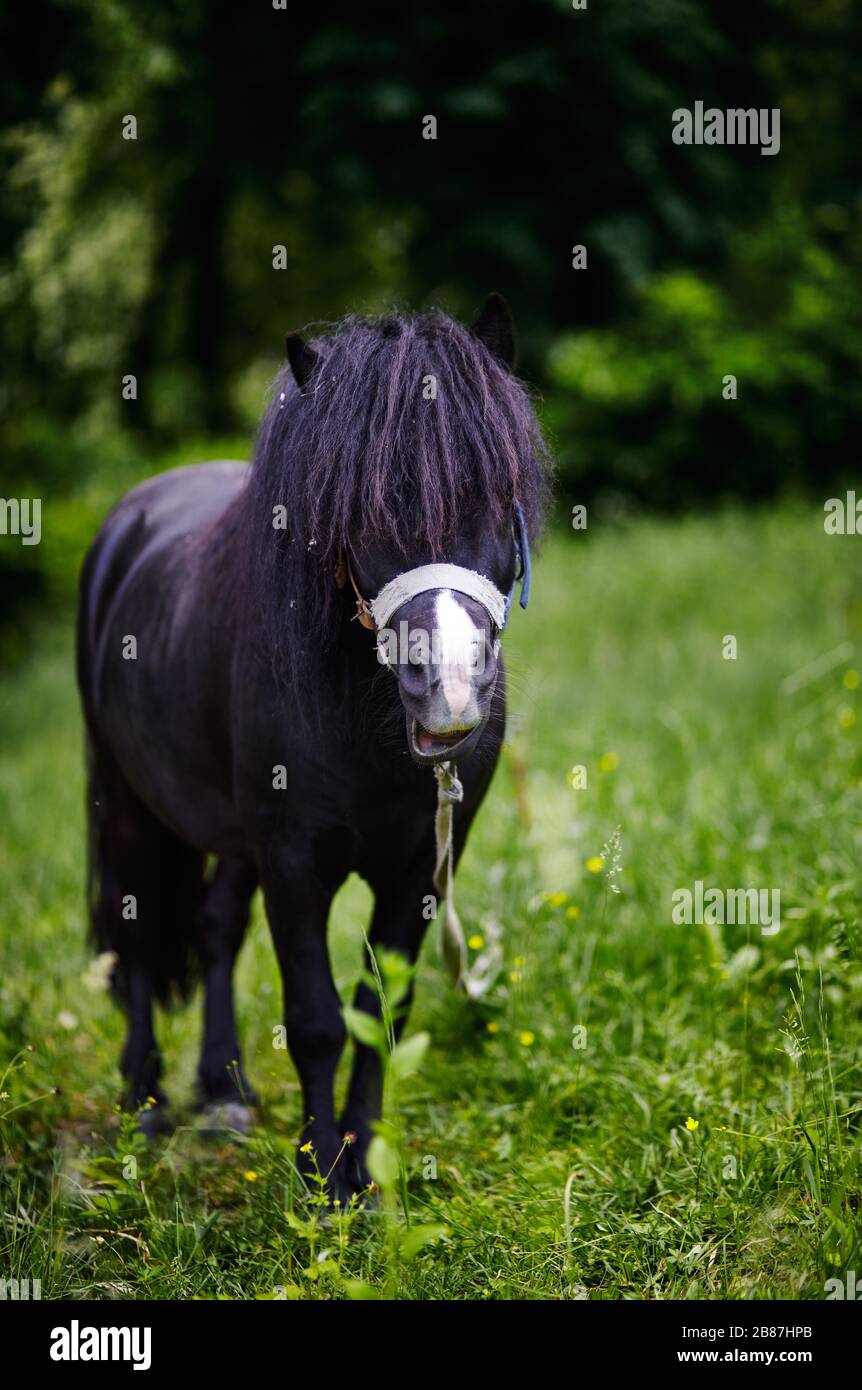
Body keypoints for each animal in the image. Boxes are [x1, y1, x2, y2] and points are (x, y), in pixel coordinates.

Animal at [82, 296, 553, 1206]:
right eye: (360, 513)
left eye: (495, 491)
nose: (449, 690)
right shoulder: (293, 859)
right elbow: (315, 1021)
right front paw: (322, 1176)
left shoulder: (420, 868)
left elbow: (378, 1012)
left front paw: (365, 1166)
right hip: (125, 801)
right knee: (135, 935)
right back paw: (145, 1102)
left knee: (215, 925)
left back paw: (223, 1094)